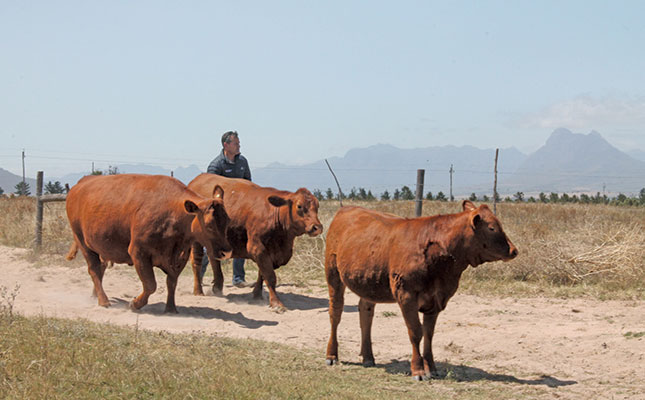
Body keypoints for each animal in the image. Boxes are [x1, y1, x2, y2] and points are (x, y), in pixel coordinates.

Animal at [65, 174, 231, 312]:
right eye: (209, 225)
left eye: (227, 220)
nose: (227, 252)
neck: (173, 213)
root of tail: (81, 183)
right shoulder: (139, 252)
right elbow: (151, 285)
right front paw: (135, 304)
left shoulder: (179, 258)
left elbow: (172, 282)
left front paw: (171, 309)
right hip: (83, 242)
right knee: (94, 269)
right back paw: (103, 301)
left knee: (101, 268)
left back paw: (95, 295)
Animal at [189, 173, 324, 310]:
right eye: (299, 206)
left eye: (317, 206)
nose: (317, 227)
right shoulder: (257, 248)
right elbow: (269, 276)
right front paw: (276, 304)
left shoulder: (271, 252)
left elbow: (262, 274)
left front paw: (257, 295)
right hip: (196, 241)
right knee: (197, 262)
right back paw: (198, 291)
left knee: (213, 258)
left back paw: (217, 287)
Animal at [324, 202, 516, 380]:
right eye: (492, 228)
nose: (514, 250)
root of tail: (347, 208)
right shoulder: (406, 295)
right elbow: (416, 332)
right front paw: (418, 370)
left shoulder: (436, 299)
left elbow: (428, 334)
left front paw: (431, 368)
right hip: (333, 274)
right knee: (336, 313)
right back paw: (332, 355)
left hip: (369, 282)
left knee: (366, 313)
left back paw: (368, 357)